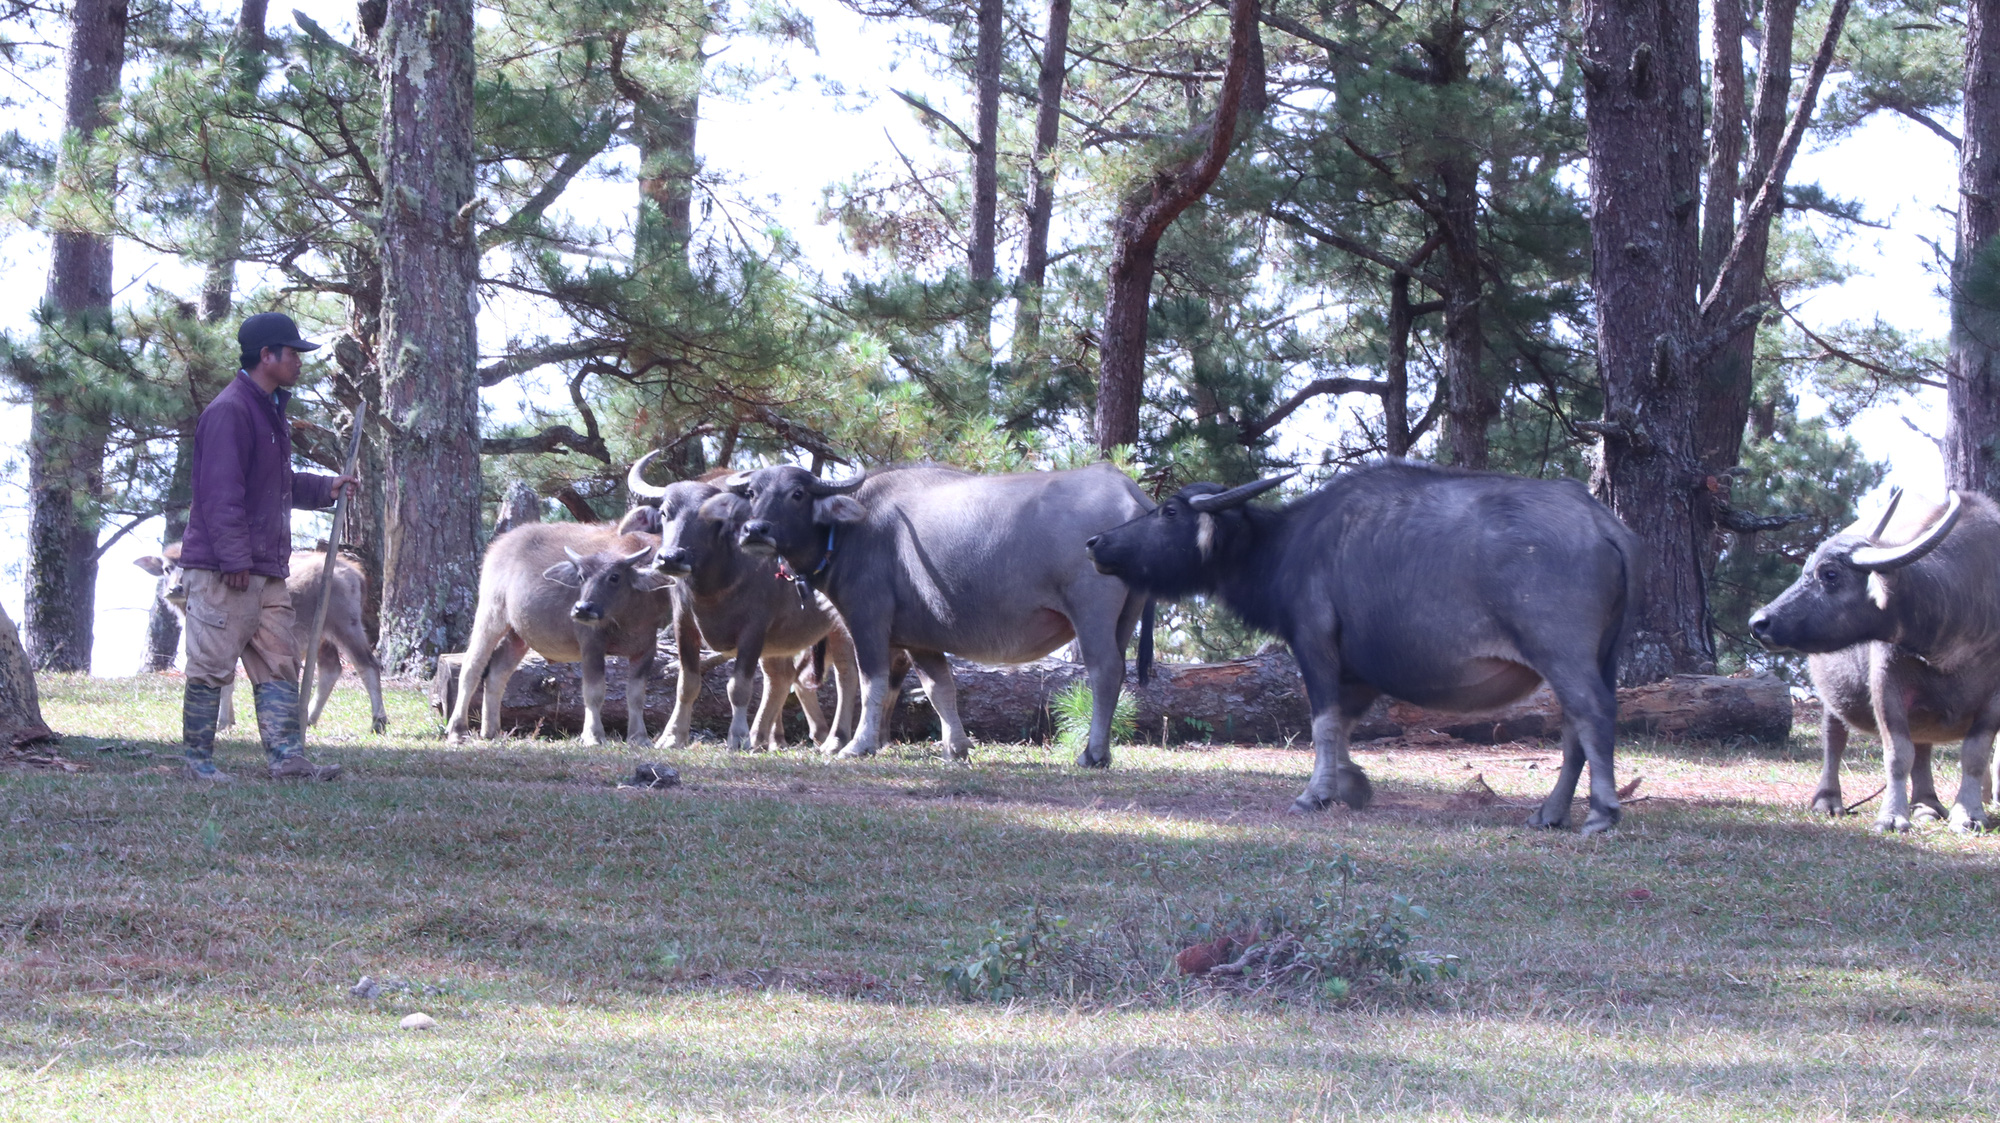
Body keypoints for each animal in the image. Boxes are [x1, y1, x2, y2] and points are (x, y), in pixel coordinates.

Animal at [137, 543, 390, 735]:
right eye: (166, 568)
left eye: (190, 568)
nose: (175, 589)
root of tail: (354, 573)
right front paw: (229, 719)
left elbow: (226, 681)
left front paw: (221, 723)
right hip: (321, 637)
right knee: (331, 670)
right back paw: (308, 718)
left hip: (346, 627)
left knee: (367, 665)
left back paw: (378, 722)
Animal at [728, 459, 1152, 763]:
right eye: (752, 491)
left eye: (797, 493)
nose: (755, 530)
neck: (852, 529)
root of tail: (1128, 490)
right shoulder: (920, 638)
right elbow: (939, 688)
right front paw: (956, 748)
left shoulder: (868, 620)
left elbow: (871, 683)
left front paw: (858, 745)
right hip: (1125, 618)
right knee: (1117, 675)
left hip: (1092, 612)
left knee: (1104, 671)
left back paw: (1092, 754)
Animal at [1088, 457, 1632, 831]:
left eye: (1168, 510)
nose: (1097, 543)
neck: (1287, 545)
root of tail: (1602, 523)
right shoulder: (1357, 671)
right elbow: (1344, 726)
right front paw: (1352, 783)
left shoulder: (1314, 645)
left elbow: (1323, 723)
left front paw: (1315, 794)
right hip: (1602, 656)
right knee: (1575, 728)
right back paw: (1550, 812)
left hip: (1563, 655)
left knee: (1593, 714)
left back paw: (1601, 812)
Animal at [1752, 485, 2000, 827]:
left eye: (1830, 574)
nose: (1758, 622)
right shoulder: (1886, 686)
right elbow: (1898, 753)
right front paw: (1892, 817)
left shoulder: (1994, 699)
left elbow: (1974, 754)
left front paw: (1968, 815)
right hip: (1832, 696)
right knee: (1833, 739)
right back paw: (1828, 800)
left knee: (1923, 746)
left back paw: (1926, 804)